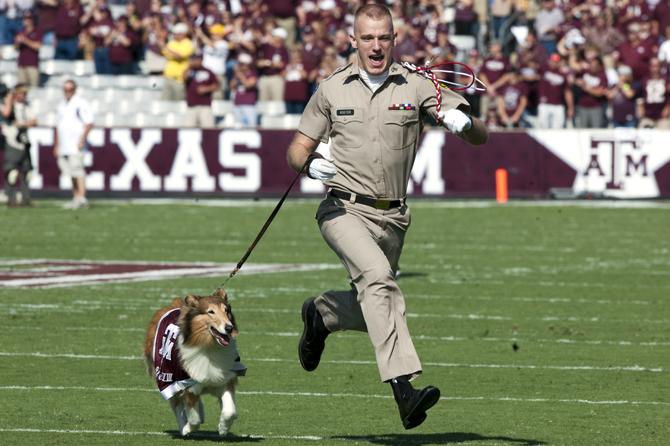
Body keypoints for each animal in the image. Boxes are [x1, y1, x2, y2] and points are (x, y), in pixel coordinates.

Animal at [144, 290, 247, 436]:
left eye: (226, 310)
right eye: (211, 312)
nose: (229, 328)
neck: (209, 347)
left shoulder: (225, 379)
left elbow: (230, 411)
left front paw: (223, 428)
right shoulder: (187, 384)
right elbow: (194, 419)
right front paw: (187, 429)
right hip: (166, 377)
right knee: (176, 404)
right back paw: (183, 426)